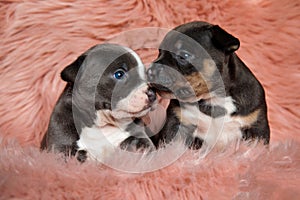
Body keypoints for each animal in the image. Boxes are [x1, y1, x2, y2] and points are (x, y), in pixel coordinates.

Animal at [147, 21, 270, 149]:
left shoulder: (257, 128)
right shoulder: (176, 122)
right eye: (159, 53)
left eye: (184, 56)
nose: (149, 70)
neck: (214, 98)